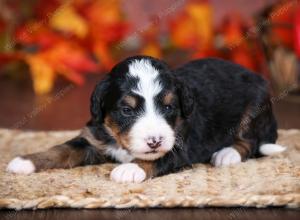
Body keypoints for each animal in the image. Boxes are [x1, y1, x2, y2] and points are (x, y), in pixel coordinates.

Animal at [6, 55, 286, 183]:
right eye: (127, 110)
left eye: (169, 106)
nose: (154, 140)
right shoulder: (92, 139)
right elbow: (61, 149)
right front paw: (25, 161)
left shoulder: (180, 146)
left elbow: (156, 159)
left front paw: (130, 168)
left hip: (254, 108)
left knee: (250, 141)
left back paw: (226, 154)